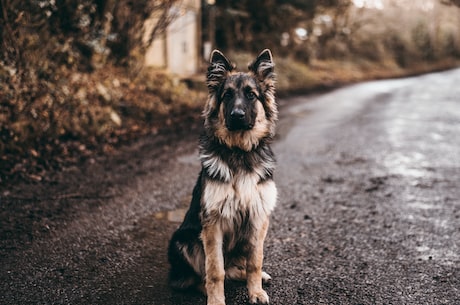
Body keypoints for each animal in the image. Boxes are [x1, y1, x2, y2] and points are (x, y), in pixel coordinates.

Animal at [168, 50, 276, 304]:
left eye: (251, 95)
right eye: (227, 95)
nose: (237, 115)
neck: (239, 152)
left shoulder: (258, 218)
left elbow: (255, 262)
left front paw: (255, 291)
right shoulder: (213, 224)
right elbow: (215, 270)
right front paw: (216, 300)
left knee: (237, 268)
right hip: (182, 240)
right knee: (198, 278)